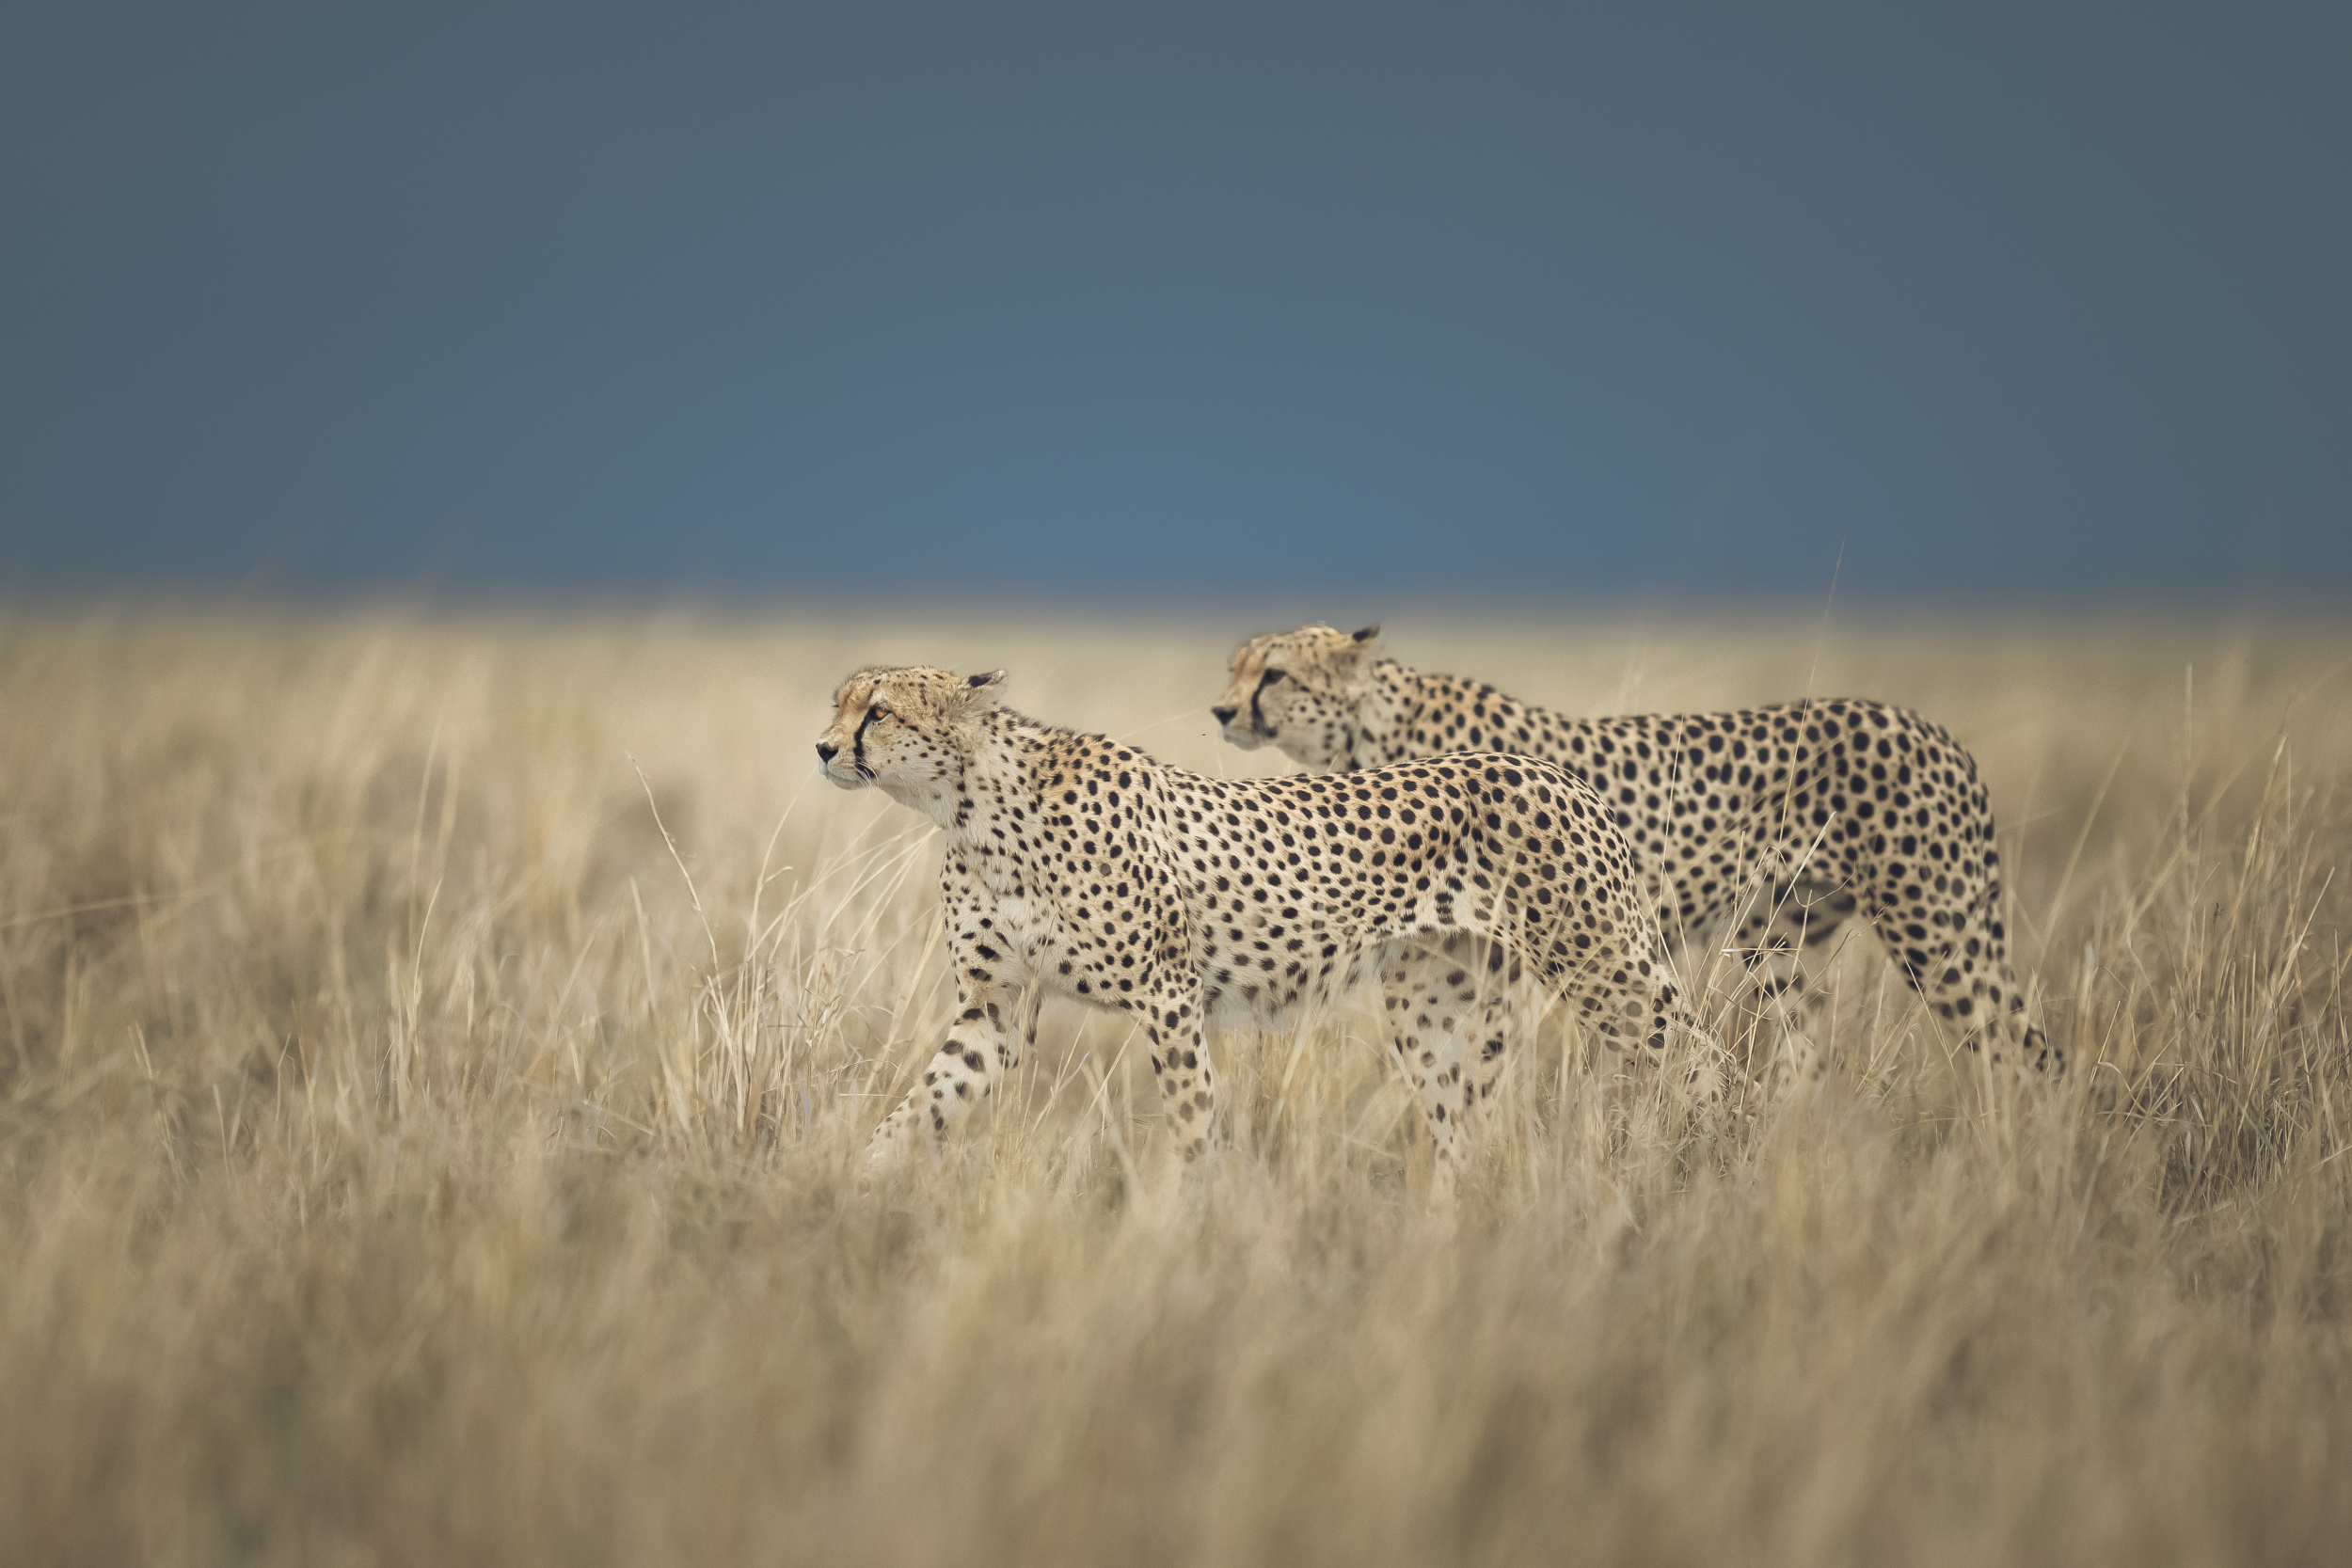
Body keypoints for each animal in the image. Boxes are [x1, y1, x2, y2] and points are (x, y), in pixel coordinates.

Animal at [816, 662, 1716, 1198]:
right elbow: (924, 1100)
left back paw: (1713, 1157)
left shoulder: (1166, 993)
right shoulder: (995, 1008)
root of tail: (1555, 770)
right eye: (840, 703)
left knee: (1697, 1048)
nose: (823, 747)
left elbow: (1190, 1113)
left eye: (880, 711)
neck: (972, 806)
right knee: (1461, 1118)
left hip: (1602, 963)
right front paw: (850, 1183)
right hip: (1433, 1004)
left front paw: (1186, 1213)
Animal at [1211, 624, 2060, 1084]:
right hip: (1777, 940)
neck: (1363, 732)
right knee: (1803, 1058)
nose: (1220, 709)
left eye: (1273, 673)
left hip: (1938, 935)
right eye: (1235, 667)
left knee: (2023, 1048)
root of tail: (1936, 730)